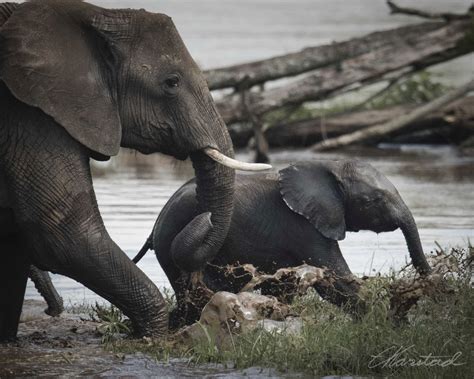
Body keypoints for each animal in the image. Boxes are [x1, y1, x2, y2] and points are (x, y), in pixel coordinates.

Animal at [0, 0, 266, 342]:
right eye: (171, 82)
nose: (203, 216)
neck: (96, 14)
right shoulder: (33, 114)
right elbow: (65, 234)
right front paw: (154, 336)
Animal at [135, 160, 432, 326]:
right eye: (374, 201)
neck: (328, 167)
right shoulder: (305, 226)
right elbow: (334, 280)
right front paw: (379, 322)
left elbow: (285, 284)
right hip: (172, 239)